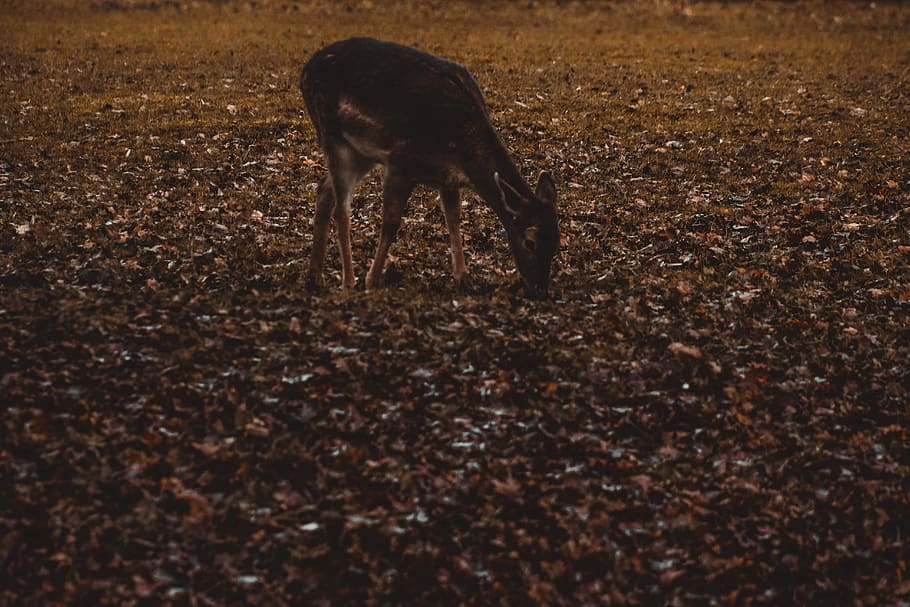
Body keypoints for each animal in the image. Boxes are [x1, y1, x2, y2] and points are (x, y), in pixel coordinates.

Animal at [299, 37, 559, 298]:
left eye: (557, 241)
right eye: (529, 242)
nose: (540, 289)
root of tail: (305, 71)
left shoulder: (448, 179)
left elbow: (453, 217)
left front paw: (463, 278)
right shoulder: (400, 162)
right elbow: (391, 223)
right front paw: (372, 280)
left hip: (361, 153)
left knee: (324, 190)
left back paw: (316, 276)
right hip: (333, 136)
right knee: (341, 208)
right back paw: (349, 281)